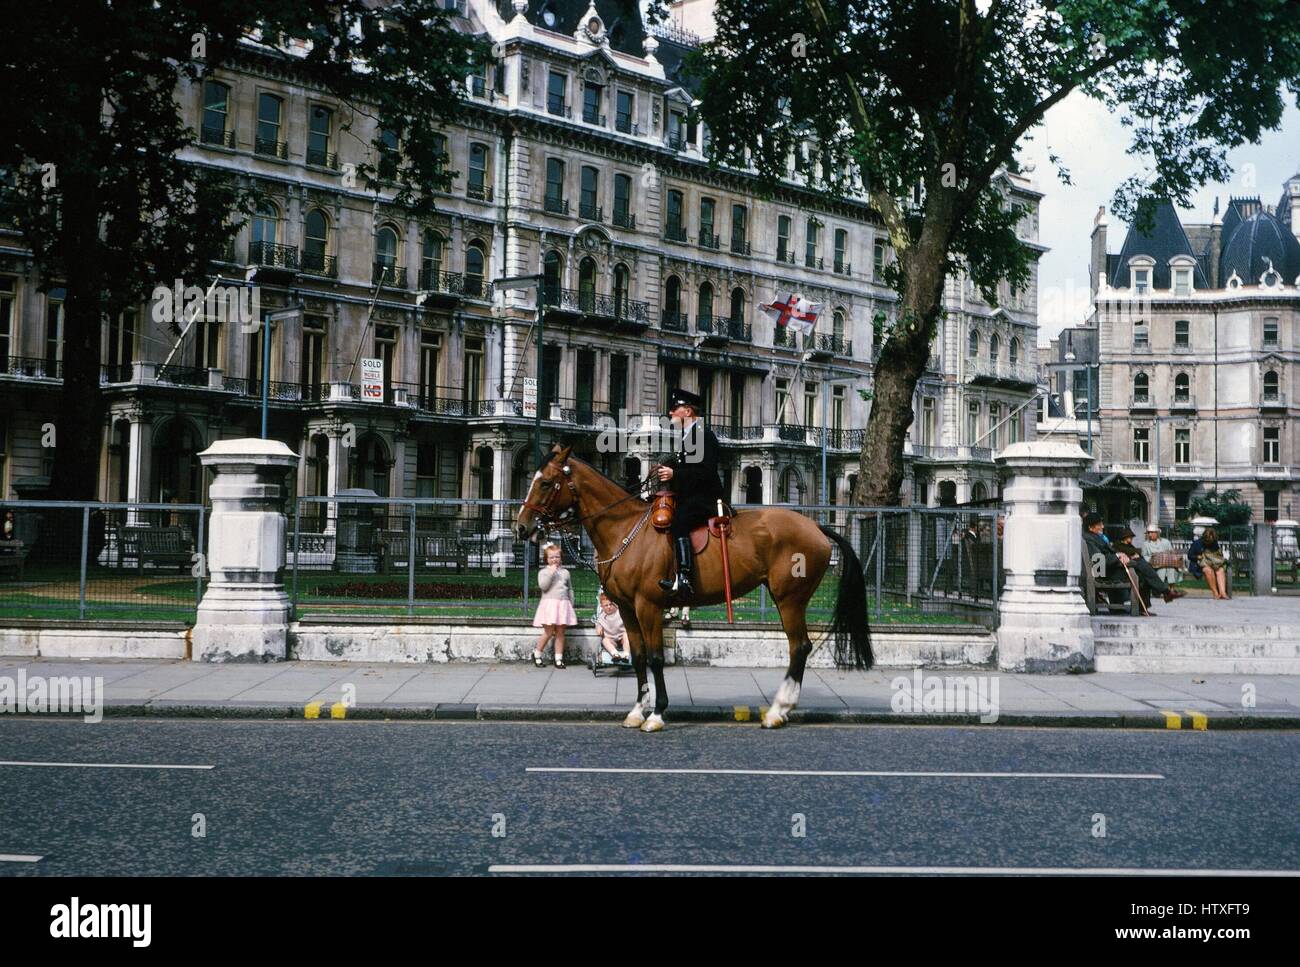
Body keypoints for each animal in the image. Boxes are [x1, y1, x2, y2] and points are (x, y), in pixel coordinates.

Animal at [512, 444, 868, 733]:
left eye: (545, 483)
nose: (521, 526)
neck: (625, 529)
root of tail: (816, 527)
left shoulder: (648, 606)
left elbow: (656, 658)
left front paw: (657, 714)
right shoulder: (627, 608)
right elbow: (638, 657)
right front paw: (637, 711)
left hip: (789, 599)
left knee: (799, 647)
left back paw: (778, 710)